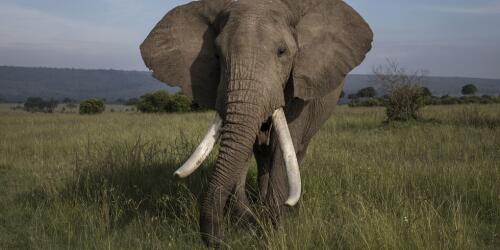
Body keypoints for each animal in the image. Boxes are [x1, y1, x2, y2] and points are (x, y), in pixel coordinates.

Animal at [140, 0, 372, 246]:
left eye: (282, 52)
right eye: (217, 56)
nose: (219, 242)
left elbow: (284, 146)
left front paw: (273, 228)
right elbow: (241, 145)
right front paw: (249, 223)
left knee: (295, 151)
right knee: (261, 154)